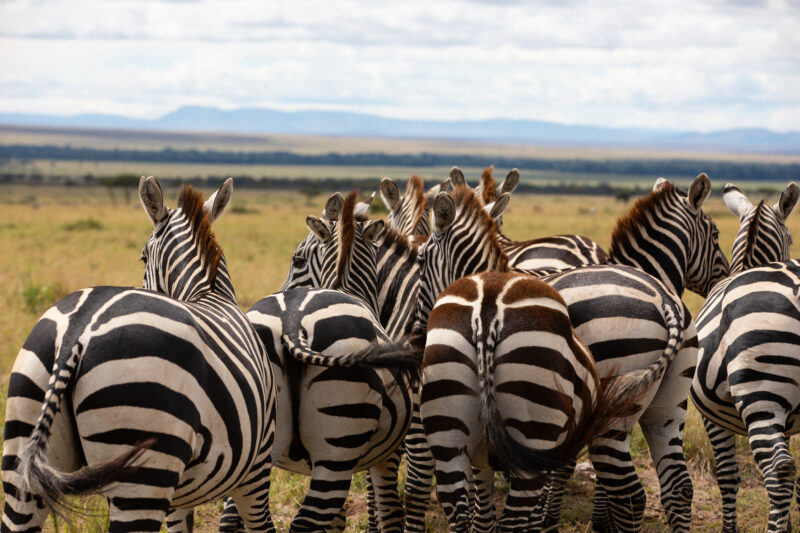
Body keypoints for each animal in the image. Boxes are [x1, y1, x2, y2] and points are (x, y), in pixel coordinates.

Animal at [2, 177, 277, 532]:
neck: (208, 294)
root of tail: (77, 331)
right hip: (143, 468)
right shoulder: (257, 465)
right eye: (142, 258)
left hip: (23, 449)